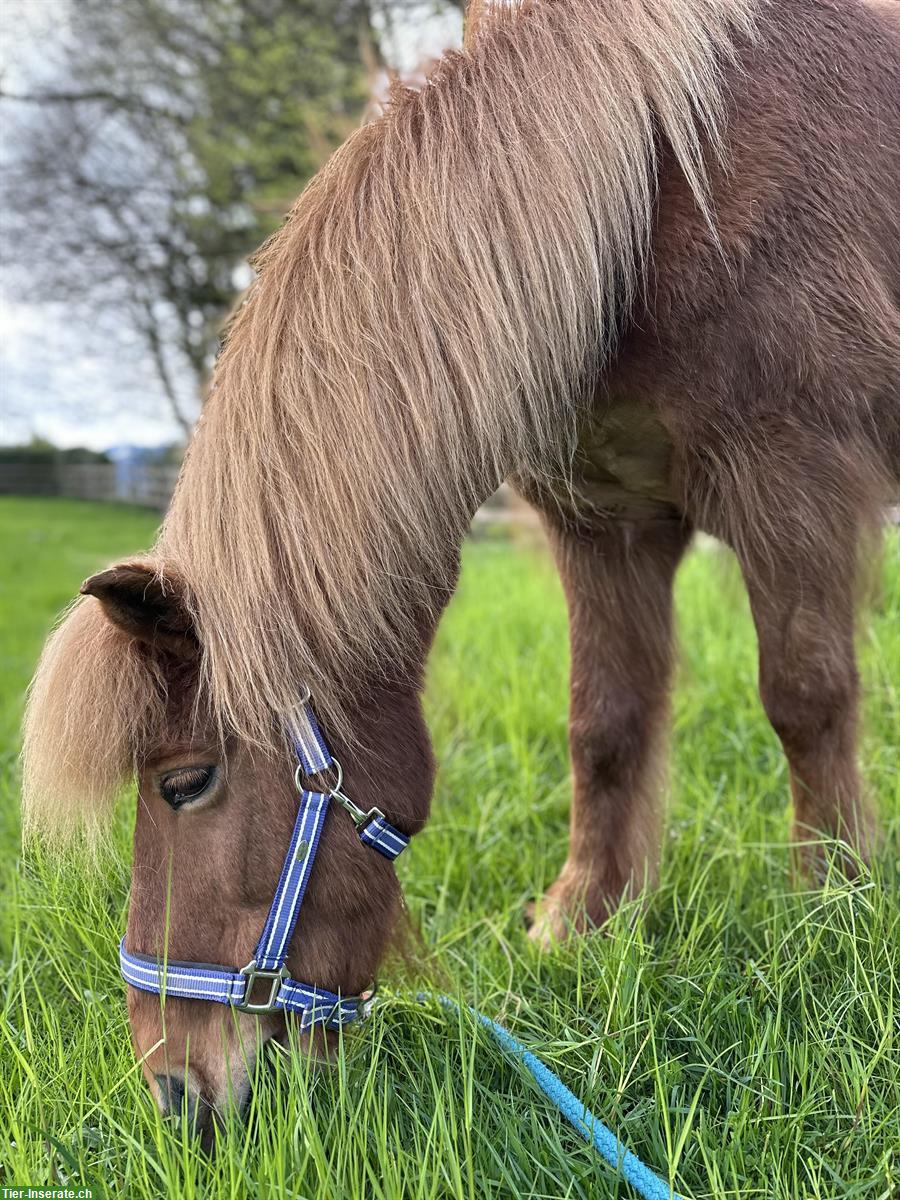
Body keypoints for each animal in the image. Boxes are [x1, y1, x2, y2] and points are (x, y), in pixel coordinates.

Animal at [19, 0, 900, 1123]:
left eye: (186, 783)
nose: (175, 1091)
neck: (664, 173)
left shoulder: (794, 482)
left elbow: (805, 699)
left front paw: (831, 905)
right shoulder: (603, 520)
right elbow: (604, 727)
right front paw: (583, 920)